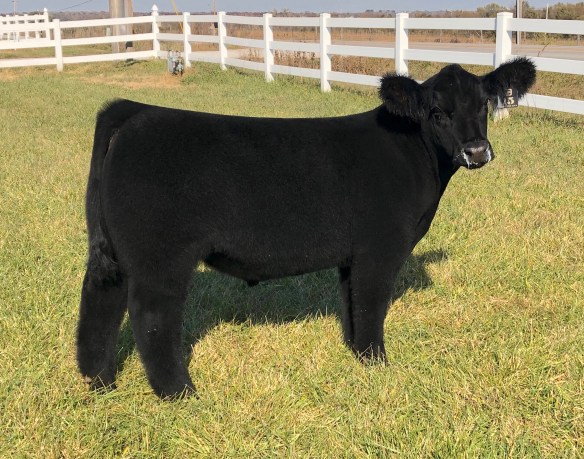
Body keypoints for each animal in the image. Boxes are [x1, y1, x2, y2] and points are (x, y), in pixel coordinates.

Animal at [77, 57, 536, 399]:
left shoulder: (353, 254)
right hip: (161, 255)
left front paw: (356, 354)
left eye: (484, 106)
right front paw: (378, 364)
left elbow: (352, 303)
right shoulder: (380, 247)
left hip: (117, 251)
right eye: (438, 112)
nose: (477, 151)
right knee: (151, 317)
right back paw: (179, 393)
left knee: (101, 301)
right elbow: (372, 304)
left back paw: (99, 381)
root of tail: (136, 110)